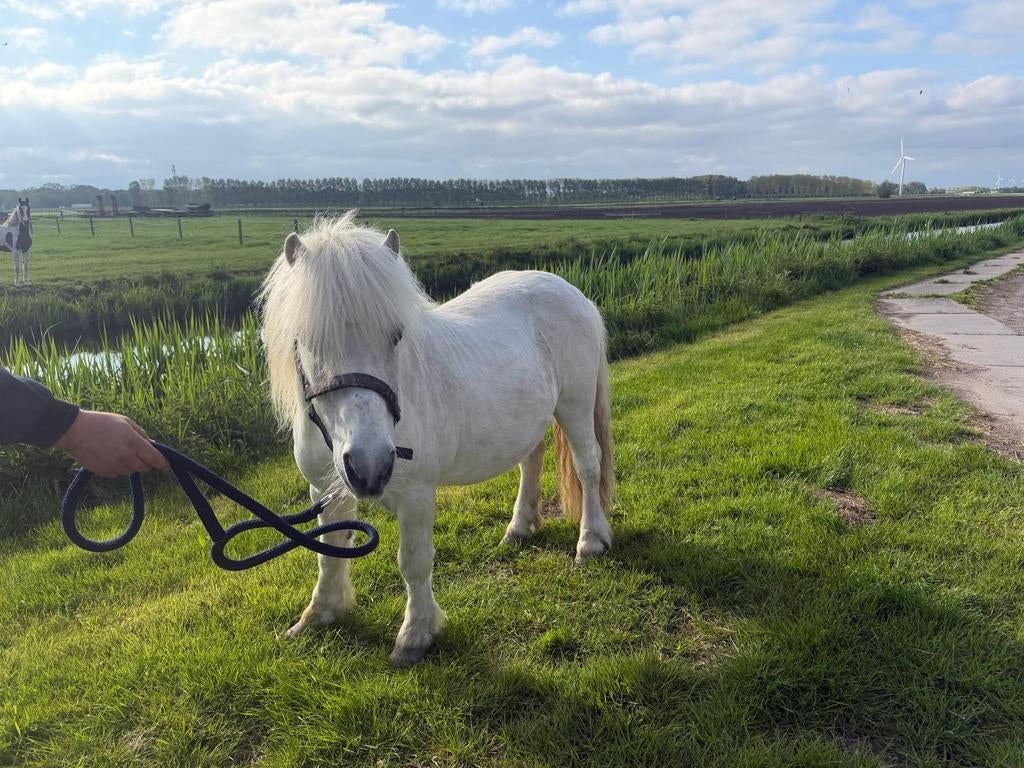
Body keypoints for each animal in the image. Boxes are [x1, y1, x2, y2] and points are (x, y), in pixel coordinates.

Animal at [259, 212, 615, 665]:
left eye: (396, 336)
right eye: (308, 340)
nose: (371, 465)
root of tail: (569, 290)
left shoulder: (416, 495)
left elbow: (413, 562)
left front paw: (415, 635)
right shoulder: (325, 489)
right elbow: (330, 551)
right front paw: (320, 614)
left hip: (575, 405)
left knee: (589, 466)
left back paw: (591, 540)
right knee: (530, 461)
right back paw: (520, 527)